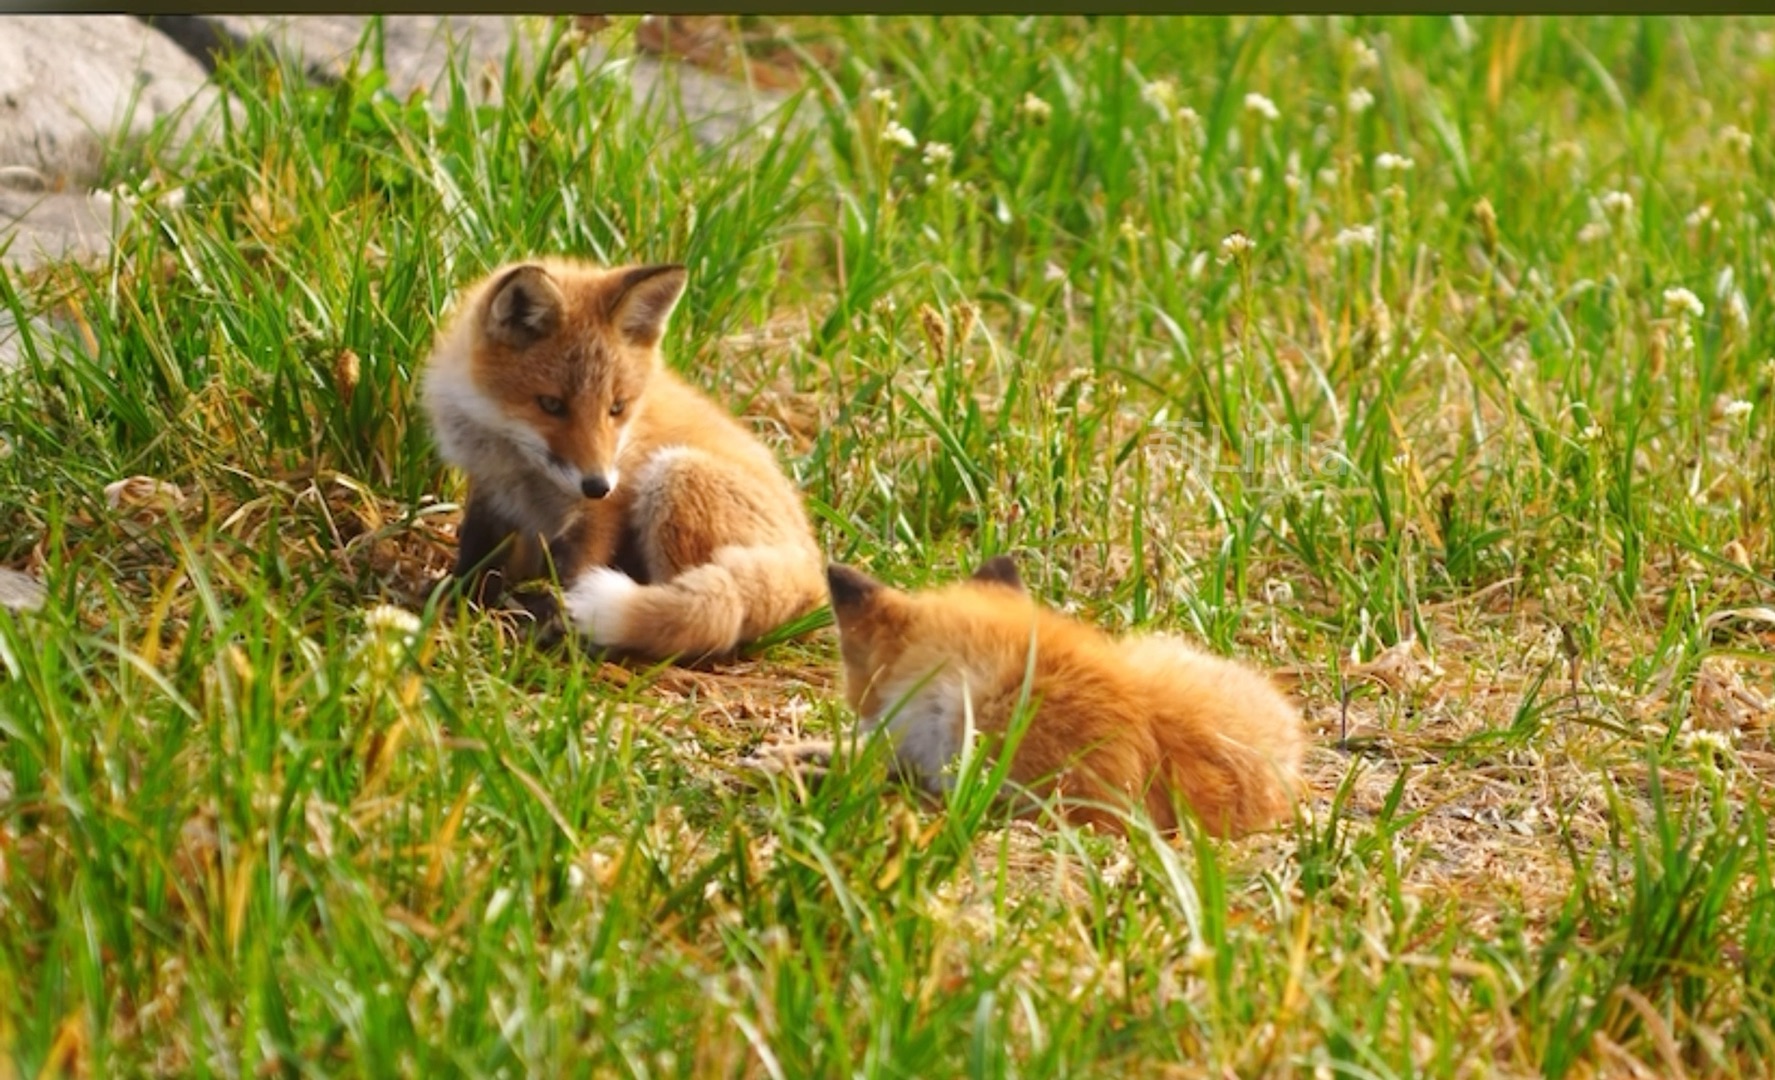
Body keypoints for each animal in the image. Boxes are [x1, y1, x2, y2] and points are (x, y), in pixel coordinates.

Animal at [422, 261, 823, 660]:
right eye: (551, 404)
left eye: (616, 407)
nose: (597, 484)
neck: (523, 470)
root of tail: (813, 567)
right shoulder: (489, 487)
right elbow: (477, 551)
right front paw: (460, 594)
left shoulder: (603, 511)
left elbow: (577, 567)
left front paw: (557, 620)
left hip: (673, 476)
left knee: (695, 619)